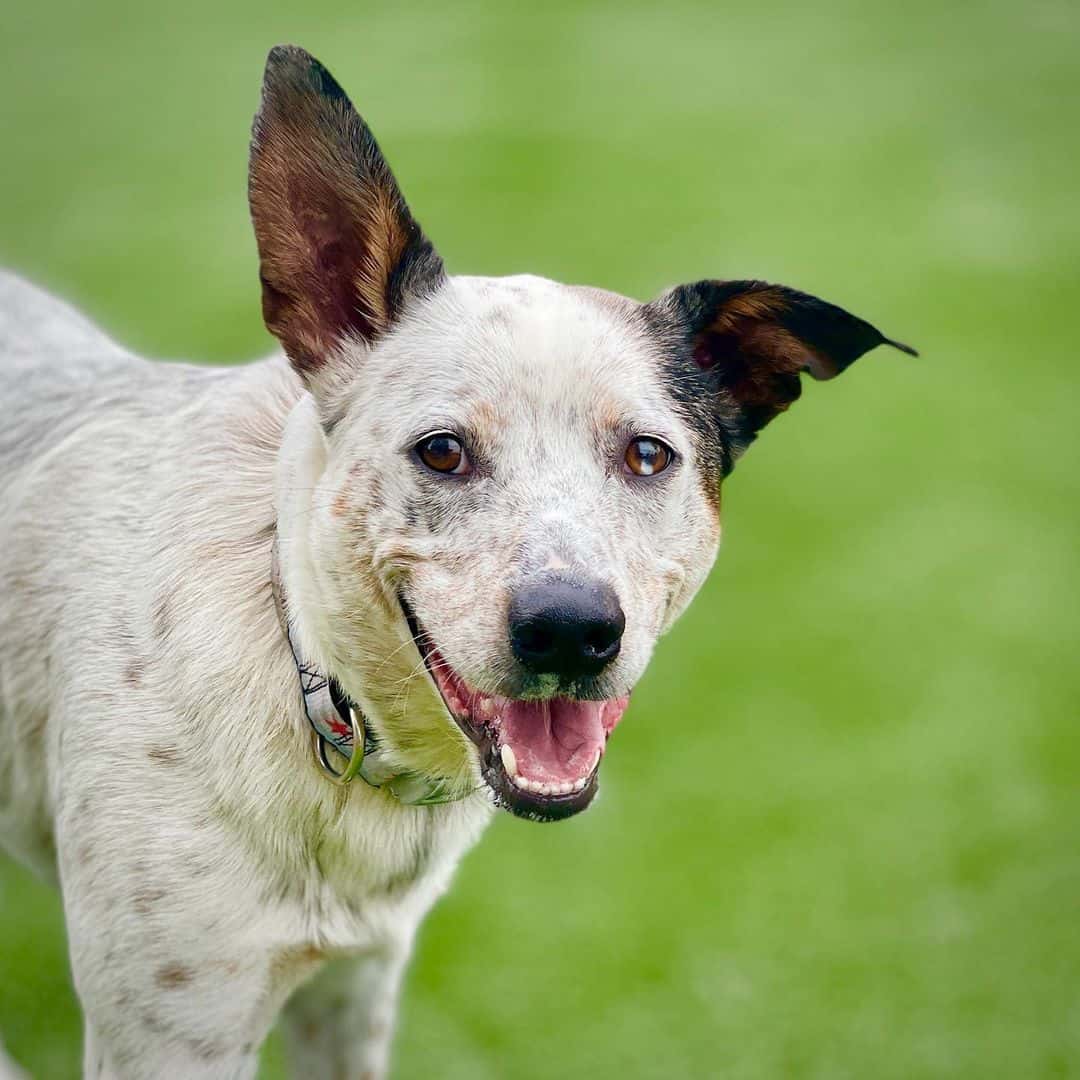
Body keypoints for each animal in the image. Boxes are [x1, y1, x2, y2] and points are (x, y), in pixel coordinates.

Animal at [0, 44, 911, 1080]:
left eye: (648, 456)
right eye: (441, 451)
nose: (571, 630)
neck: (308, 674)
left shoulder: (354, 989)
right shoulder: (170, 1028)